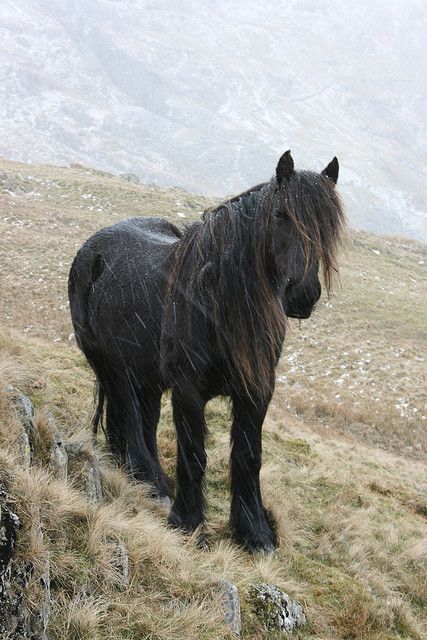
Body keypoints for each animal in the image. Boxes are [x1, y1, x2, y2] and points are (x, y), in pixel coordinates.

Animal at [68, 151, 346, 556]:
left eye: (328, 226)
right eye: (281, 214)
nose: (302, 295)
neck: (220, 299)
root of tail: (92, 248)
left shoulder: (257, 392)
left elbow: (248, 457)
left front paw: (255, 534)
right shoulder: (188, 390)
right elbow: (194, 455)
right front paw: (188, 524)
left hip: (147, 377)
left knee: (145, 423)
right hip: (114, 368)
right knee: (132, 419)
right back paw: (152, 483)